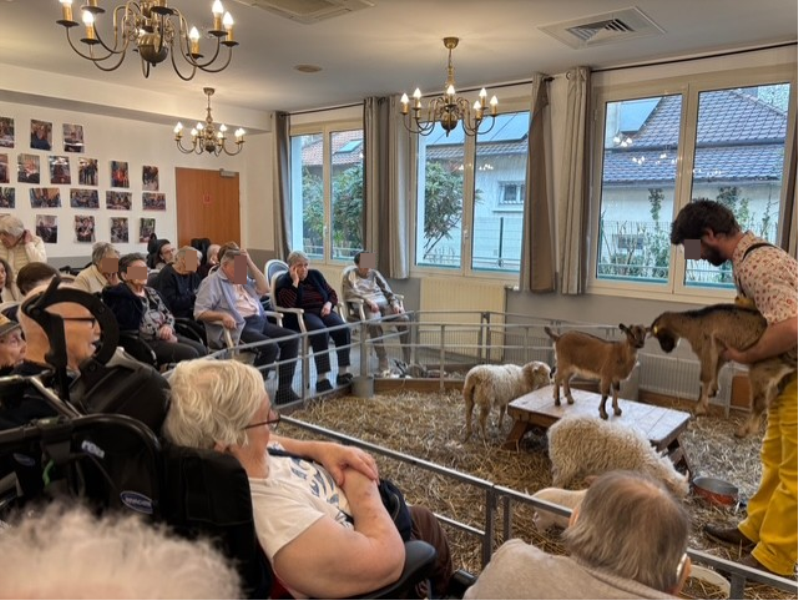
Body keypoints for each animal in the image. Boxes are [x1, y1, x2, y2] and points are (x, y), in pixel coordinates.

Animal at [650, 304, 798, 437]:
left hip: (762, 369)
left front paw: (700, 408)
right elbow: (715, 371)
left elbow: (705, 377)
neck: (695, 324)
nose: (666, 350)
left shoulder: (707, 347)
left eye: (660, 336)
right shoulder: (721, 353)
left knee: (760, 403)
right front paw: (713, 391)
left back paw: (743, 431)